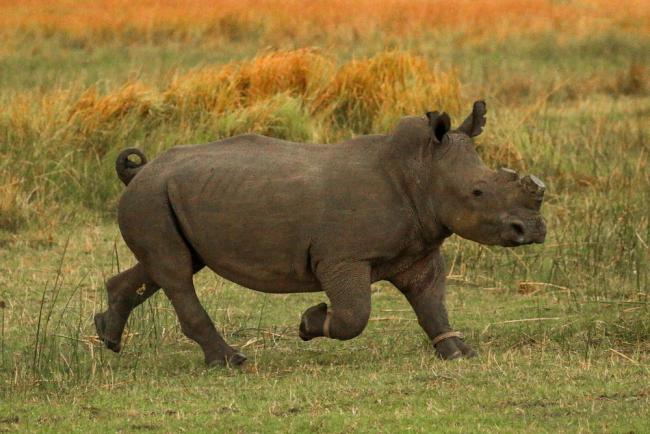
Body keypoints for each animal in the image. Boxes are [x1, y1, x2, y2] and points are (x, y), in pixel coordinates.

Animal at [93, 101, 544, 366]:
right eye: (478, 192)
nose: (534, 230)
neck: (421, 169)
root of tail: (139, 173)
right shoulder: (342, 257)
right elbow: (355, 315)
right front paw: (309, 323)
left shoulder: (418, 250)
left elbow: (432, 303)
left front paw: (458, 353)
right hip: (152, 197)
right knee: (175, 272)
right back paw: (232, 362)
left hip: (162, 197)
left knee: (167, 266)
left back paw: (108, 338)